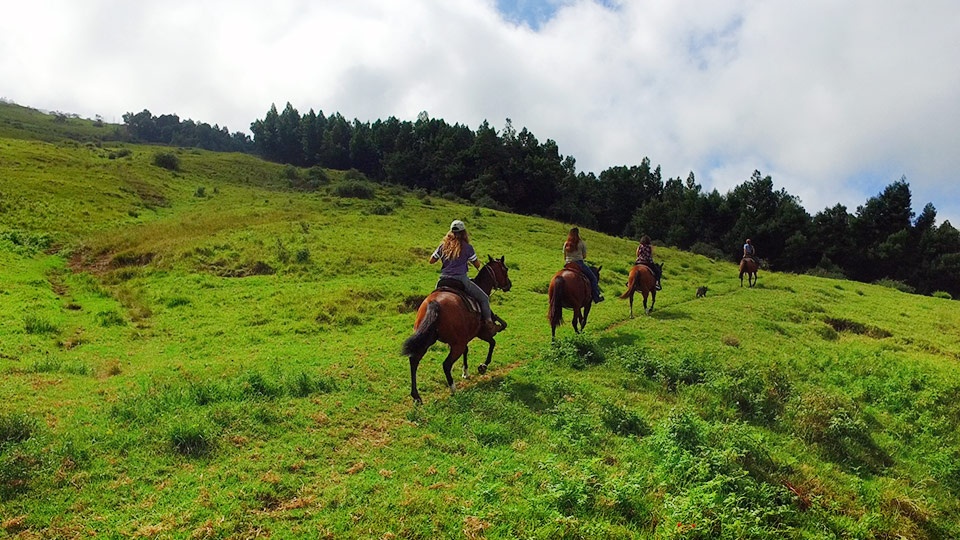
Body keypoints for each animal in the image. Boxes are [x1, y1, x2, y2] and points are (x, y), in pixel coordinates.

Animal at [402, 255, 512, 402]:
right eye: (505, 269)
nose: (509, 284)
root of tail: (434, 303)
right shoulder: (481, 333)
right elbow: (492, 343)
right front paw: (483, 366)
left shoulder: (465, 337)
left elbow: (467, 350)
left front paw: (465, 372)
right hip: (456, 345)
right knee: (446, 364)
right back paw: (453, 389)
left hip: (426, 339)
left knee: (414, 360)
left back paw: (416, 396)